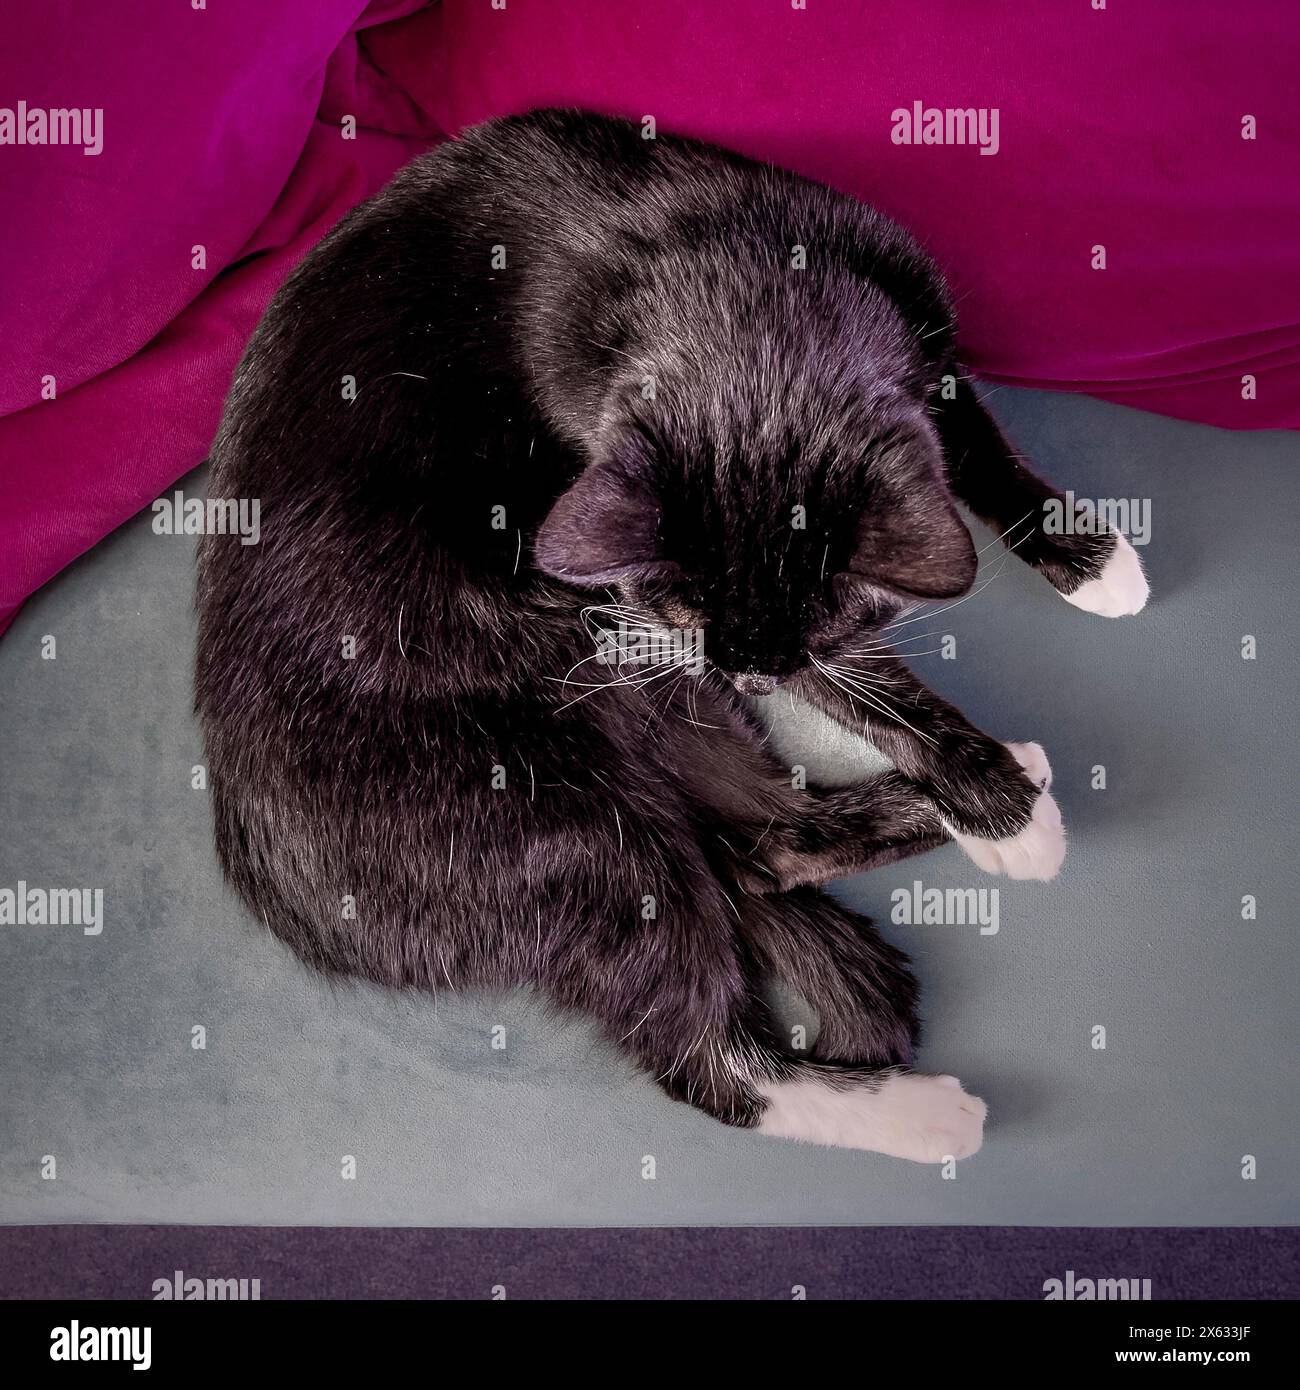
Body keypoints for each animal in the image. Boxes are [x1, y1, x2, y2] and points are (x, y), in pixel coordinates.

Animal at [196, 108, 1151, 1162]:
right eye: (694, 618)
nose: (743, 672)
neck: (737, 286)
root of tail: (273, 875)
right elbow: (870, 687)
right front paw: (1001, 808)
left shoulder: (913, 324)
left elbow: (971, 437)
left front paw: (1084, 554)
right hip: (561, 814)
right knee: (707, 1051)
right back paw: (922, 1107)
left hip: (646, 709)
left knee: (767, 843)